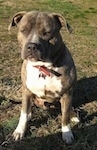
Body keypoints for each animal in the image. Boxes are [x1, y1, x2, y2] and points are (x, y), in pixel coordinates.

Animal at [8, 10, 79, 144]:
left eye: (47, 33)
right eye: (23, 30)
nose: (31, 46)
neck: (43, 67)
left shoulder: (67, 93)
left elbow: (65, 116)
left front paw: (67, 133)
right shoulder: (26, 91)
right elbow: (23, 114)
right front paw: (19, 131)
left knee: (67, 110)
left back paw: (73, 115)